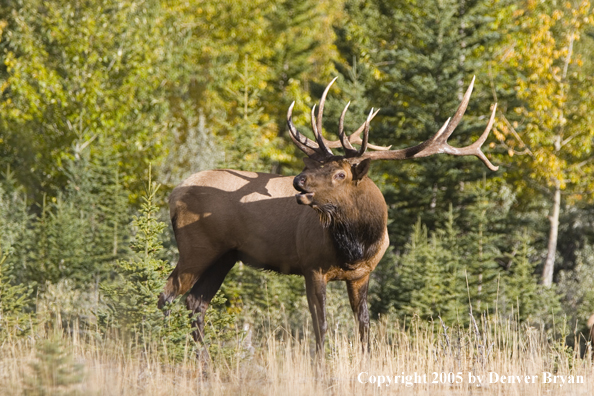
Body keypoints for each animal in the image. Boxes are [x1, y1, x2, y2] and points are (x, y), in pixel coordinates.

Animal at [157, 76, 494, 350]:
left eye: (340, 174)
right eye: (315, 166)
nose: (298, 181)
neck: (356, 246)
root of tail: (174, 194)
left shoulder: (363, 274)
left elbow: (364, 326)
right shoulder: (312, 266)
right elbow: (321, 327)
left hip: (225, 256)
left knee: (195, 303)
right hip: (196, 249)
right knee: (167, 295)